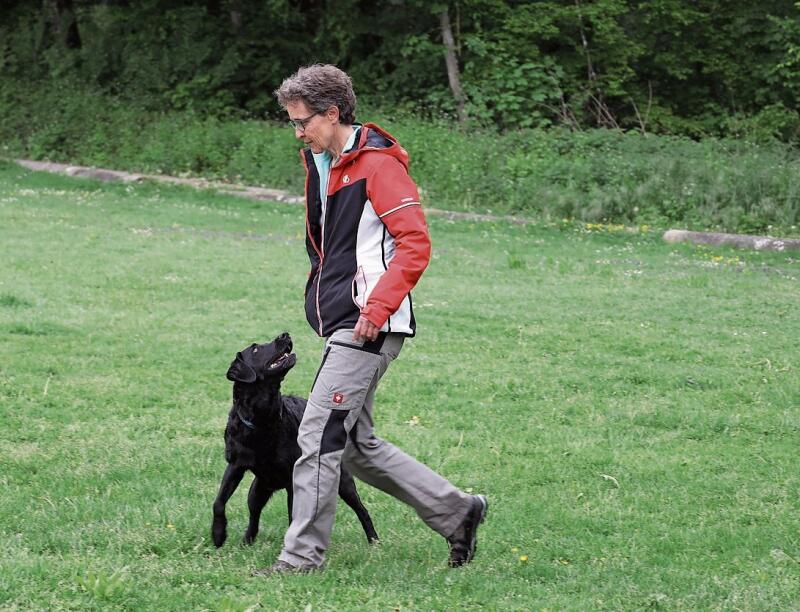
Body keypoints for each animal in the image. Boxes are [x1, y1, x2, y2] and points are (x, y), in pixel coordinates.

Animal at [209, 332, 378, 548]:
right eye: (255, 349)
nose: (284, 334)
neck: (263, 420)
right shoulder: (236, 464)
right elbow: (218, 502)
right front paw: (218, 534)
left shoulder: (293, 478)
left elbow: (293, 515)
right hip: (258, 489)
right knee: (254, 513)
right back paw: (247, 540)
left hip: (344, 482)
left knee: (361, 509)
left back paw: (374, 540)